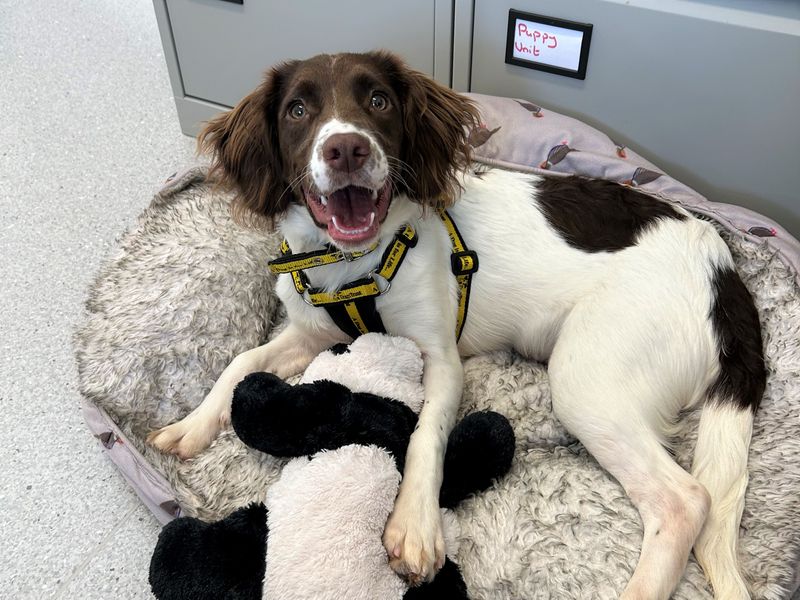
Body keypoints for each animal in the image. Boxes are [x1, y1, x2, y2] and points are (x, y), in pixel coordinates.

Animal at [147, 51, 764, 600]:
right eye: (298, 110)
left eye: (378, 100)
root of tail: (721, 263)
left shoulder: (440, 356)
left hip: (587, 376)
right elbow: (242, 360)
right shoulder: (310, 332)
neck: (356, 265)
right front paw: (192, 424)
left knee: (686, 501)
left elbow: (427, 433)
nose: (346, 148)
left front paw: (414, 526)